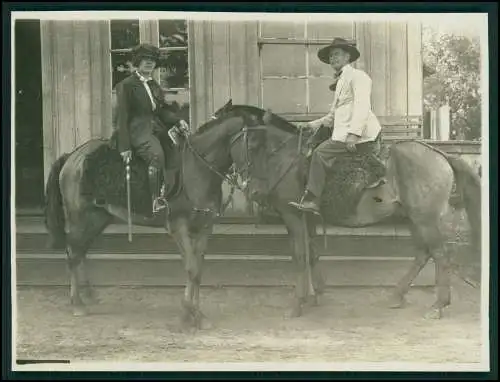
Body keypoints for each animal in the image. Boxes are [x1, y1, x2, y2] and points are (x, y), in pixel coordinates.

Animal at [44, 106, 262, 330]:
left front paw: (197, 314)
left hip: (97, 219)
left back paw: (88, 295)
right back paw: (77, 304)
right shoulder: (178, 227)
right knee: (73, 252)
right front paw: (188, 313)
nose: (255, 187)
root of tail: (72, 156)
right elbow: (191, 268)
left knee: (80, 251)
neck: (197, 169)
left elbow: (197, 270)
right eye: (254, 144)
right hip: (80, 218)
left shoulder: (204, 228)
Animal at [210, 99, 480, 320]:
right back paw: (397, 295)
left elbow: (299, 255)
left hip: (425, 219)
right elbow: (312, 253)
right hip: (413, 218)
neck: (287, 157)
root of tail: (440, 154)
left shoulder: (293, 215)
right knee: (423, 254)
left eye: (251, 141)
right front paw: (315, 295)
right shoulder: (307, 218)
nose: (253, 189)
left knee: (440, 254)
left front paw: (298, 303)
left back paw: (438, 305)